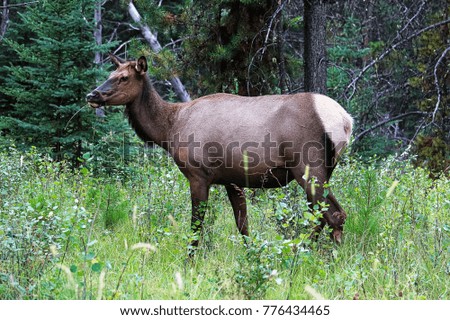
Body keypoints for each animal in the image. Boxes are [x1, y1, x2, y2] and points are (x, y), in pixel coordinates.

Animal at [88, 55, 354, 252]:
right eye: (109, 75)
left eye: (123, 77)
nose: (92, 94)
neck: (169, 129)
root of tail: (345, 121)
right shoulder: (232, 179)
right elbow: (243, 225)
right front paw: (252, 257)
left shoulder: (198, 175)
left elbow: (196, 225)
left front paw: (189, 261)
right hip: (324, 169)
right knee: (324, 215)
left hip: (307, 167)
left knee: (333, 215)